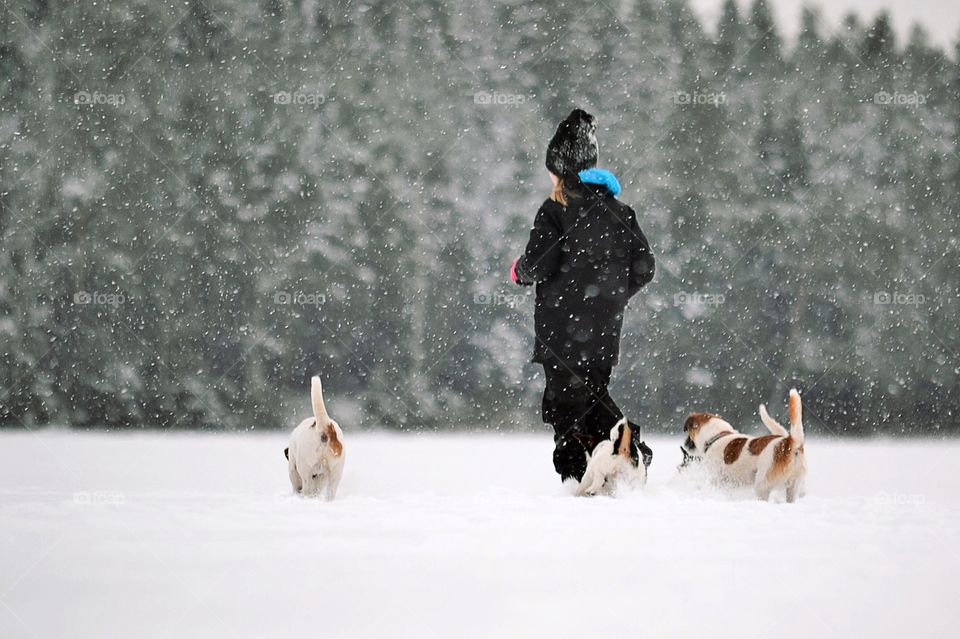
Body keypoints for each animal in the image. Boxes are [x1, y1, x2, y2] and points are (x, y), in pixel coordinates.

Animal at [680, 388, 808, 502]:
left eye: (688, 436)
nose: (684, 446)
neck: (717, 436)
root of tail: (789, 443)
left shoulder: (716, 477)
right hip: (793, 487)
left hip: (762, 485)